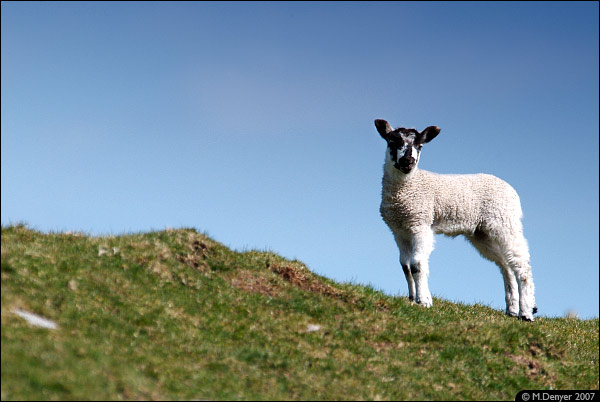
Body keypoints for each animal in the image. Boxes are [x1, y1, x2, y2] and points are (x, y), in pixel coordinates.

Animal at [372, 118, 536, 320]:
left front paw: (424, 301)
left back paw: (527, 312)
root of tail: (513, 192)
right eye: (392, 142)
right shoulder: (399, 230)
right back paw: (512, 309)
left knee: (521, 263)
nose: (408, 162)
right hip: (482, 233)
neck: (405, 190)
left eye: (420, 146)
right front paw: (411, 299)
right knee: (506, 264)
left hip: (505, 221)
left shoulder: (421, 224)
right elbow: (405, 266)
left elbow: (417, 264)